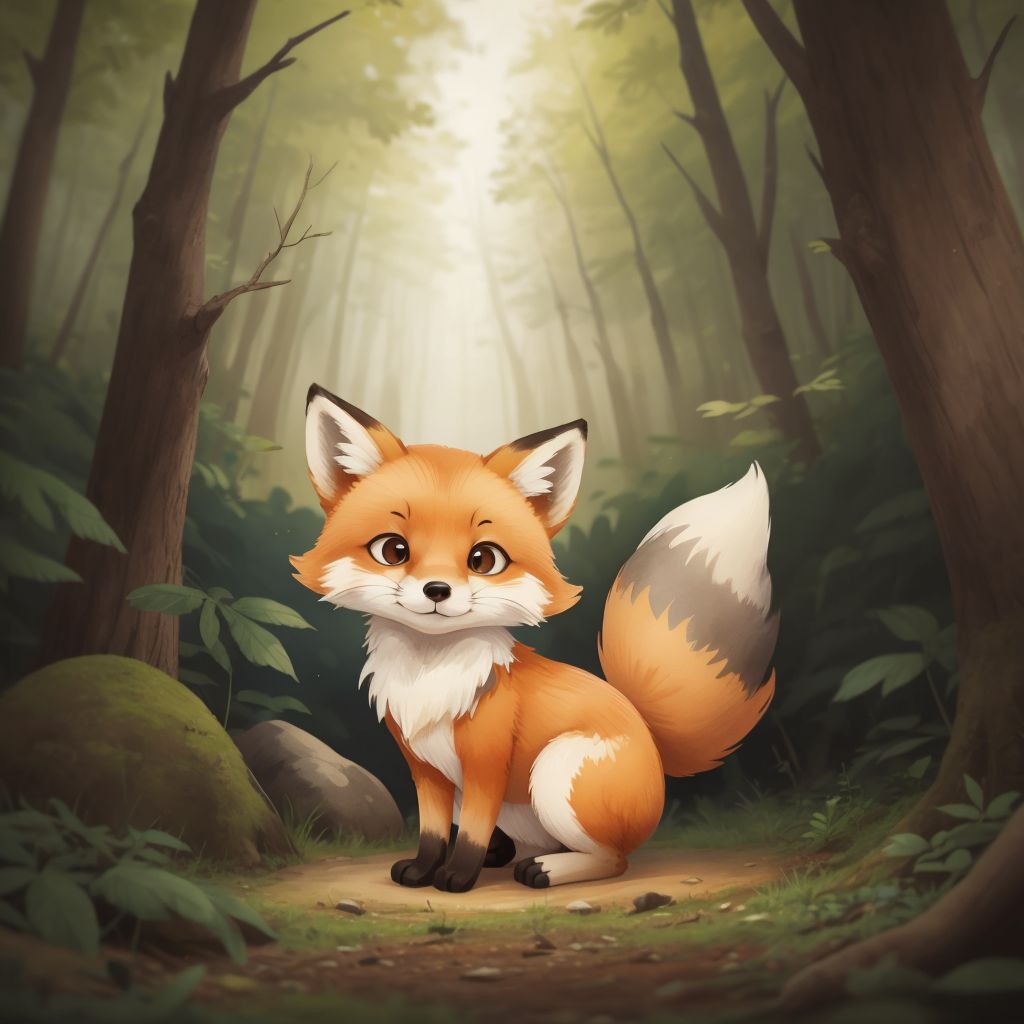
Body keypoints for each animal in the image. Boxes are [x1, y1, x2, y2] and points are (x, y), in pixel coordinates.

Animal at [291, 384, 779, 893]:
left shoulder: (486, 766)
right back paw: (507, 856)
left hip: (553, 773)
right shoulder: (426, 772)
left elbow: (470, 835)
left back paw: (546, 869)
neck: (431, 675)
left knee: (613, 859)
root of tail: (652, 740)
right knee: (524, 845)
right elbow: (432, 832)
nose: (437, 590)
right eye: (393, 550)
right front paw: (423, 871)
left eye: (483, 559)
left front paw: (457, 877)